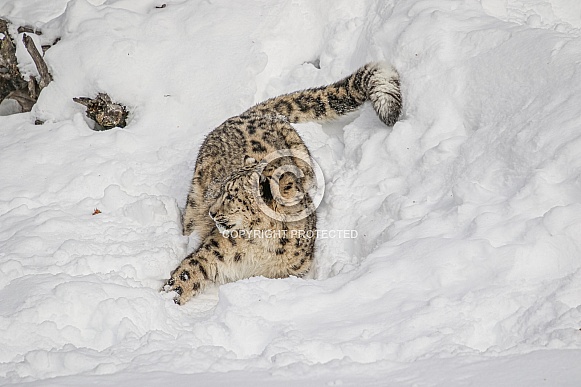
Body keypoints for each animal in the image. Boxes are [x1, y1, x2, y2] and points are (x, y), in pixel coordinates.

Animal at [161, 62, 402, 304]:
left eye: (230, 196)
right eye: (221, 190)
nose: (211, 212)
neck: (262, 246)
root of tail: (256, 113)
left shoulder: (290, 271)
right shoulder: (213, 252)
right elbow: (188, 272)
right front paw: (167, 299)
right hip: (194, 204)